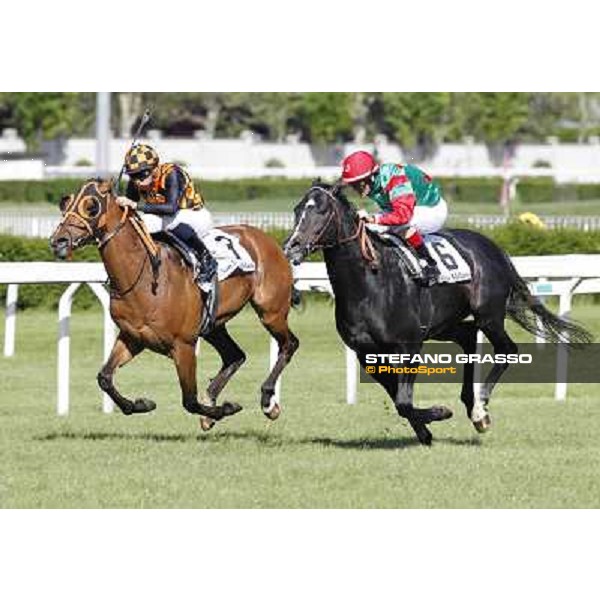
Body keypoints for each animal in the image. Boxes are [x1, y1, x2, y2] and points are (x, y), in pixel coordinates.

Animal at [49, 178, 300, 426]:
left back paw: (268, 402)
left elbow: (189, 401)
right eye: (65, 203)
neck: (145, 277)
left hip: (271, 311)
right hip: (213, 324)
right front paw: (140, 404)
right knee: (235, 355)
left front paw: (225, 408)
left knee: (289, 344)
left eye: (91, 206)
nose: (58, 241)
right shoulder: (133, 337)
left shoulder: (184, 345)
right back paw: (213, 399)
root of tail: (264, 237)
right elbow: (104, 377)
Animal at [284, 183, 592, 446]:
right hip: (444, 325)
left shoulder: (408, 345)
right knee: (468, 337)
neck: (368, 282)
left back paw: (480, 409)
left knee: (507, 349)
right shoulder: (366, 353)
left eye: (321, 210)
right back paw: (470, 403)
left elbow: (403, 401)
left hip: (488, 315)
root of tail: (496, 249)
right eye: (297, 209)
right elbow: (399, 400)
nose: (291, 246)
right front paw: (425, 432)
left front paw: (440, 413)